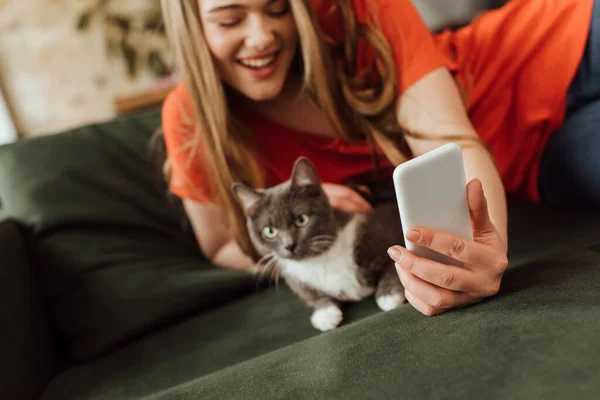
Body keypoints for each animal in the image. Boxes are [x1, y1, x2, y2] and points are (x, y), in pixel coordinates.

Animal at [232, 156, 406, 332]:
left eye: (301, 219)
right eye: (270, 231)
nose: (289, 245)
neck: (319, 258)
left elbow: (392, 264)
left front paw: (389, 295)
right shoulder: (294, 278)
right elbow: (311, 295)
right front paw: (325, 313)